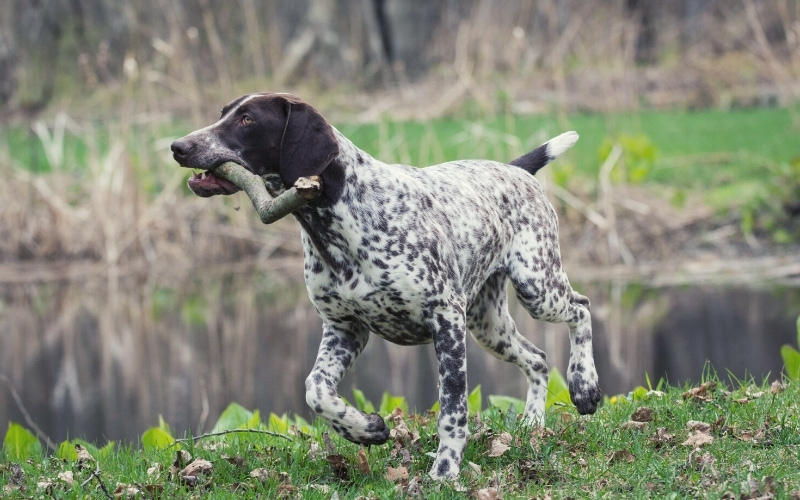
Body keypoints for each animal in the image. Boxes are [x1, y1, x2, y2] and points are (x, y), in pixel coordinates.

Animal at [173, 92, 600, 478]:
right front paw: (364, 429)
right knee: (538, 359)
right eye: (223, 113)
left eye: (247, 119)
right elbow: (316, 390)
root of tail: (515, 169)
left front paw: (445, 470)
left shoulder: (446, 321)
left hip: (536, 288)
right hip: (488, 324)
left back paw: (584, 385)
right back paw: (532, 424)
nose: (178, 146)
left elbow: (453, 410)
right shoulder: (345, 330)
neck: (339, 218)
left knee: (581, 308)